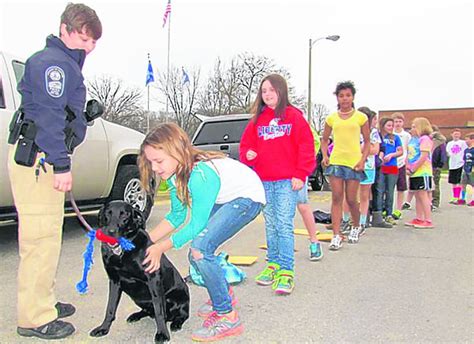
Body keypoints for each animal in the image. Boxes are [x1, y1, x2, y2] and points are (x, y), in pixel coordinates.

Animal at [90, 200, 190, 342]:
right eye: (107, 213)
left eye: (125, 215)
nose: (110, 232)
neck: (122, 252)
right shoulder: (114, 281)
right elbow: (110, 308)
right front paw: (103, 328)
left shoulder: (153, 280)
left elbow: (159, 311)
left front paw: (162, 333)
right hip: (139, 299)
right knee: (148, 311)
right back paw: (136, 315)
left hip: (177, 298)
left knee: (182, 315)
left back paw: (176, 323)